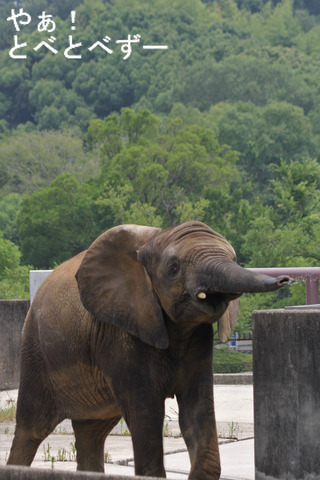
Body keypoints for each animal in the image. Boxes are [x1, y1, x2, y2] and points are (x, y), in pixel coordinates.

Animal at [7, 222, 290, 480]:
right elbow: (146, 413)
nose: (285, 279)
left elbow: (197, 410)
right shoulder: (121, 333)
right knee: (32, 428)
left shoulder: (198, 339)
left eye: (233, 259)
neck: (156, 238)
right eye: (174, 268)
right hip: (35, 351)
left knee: (92, 432)